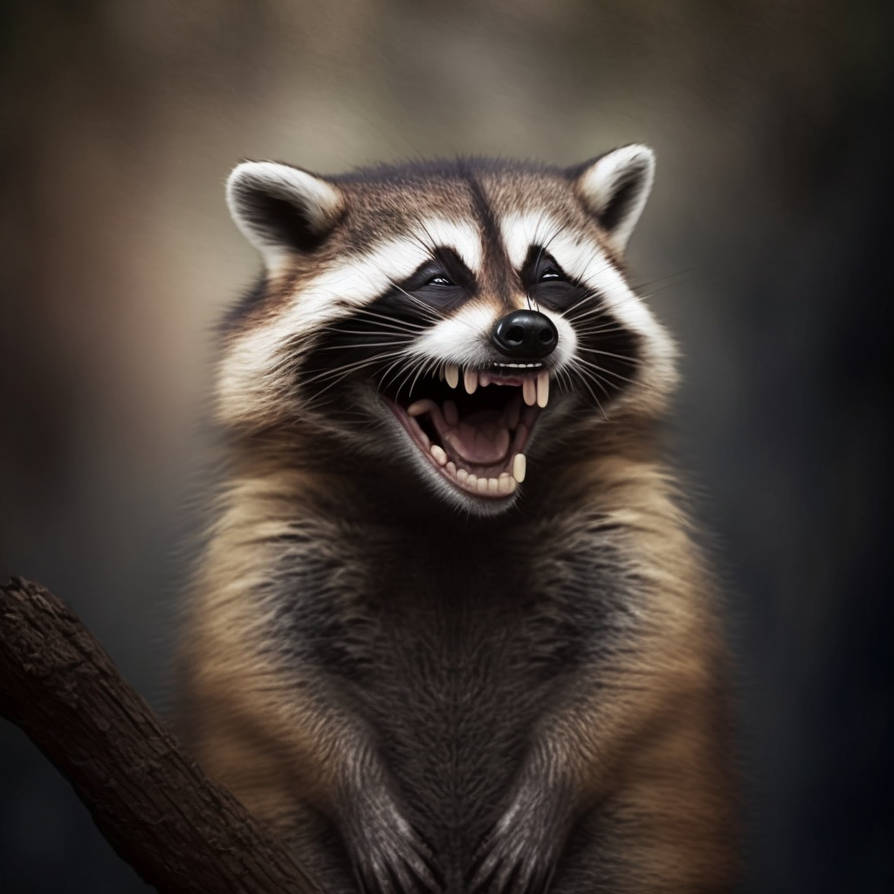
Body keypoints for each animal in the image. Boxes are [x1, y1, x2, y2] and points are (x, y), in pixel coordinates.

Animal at [179, 147, 739, 893]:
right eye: (438, 278)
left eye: (549, 275)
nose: (529, 331)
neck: (454, 518)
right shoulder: (273, 530)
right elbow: (263, 673)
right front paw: (354, 787)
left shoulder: (626, 519)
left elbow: (640, 659)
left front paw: (557, 779)